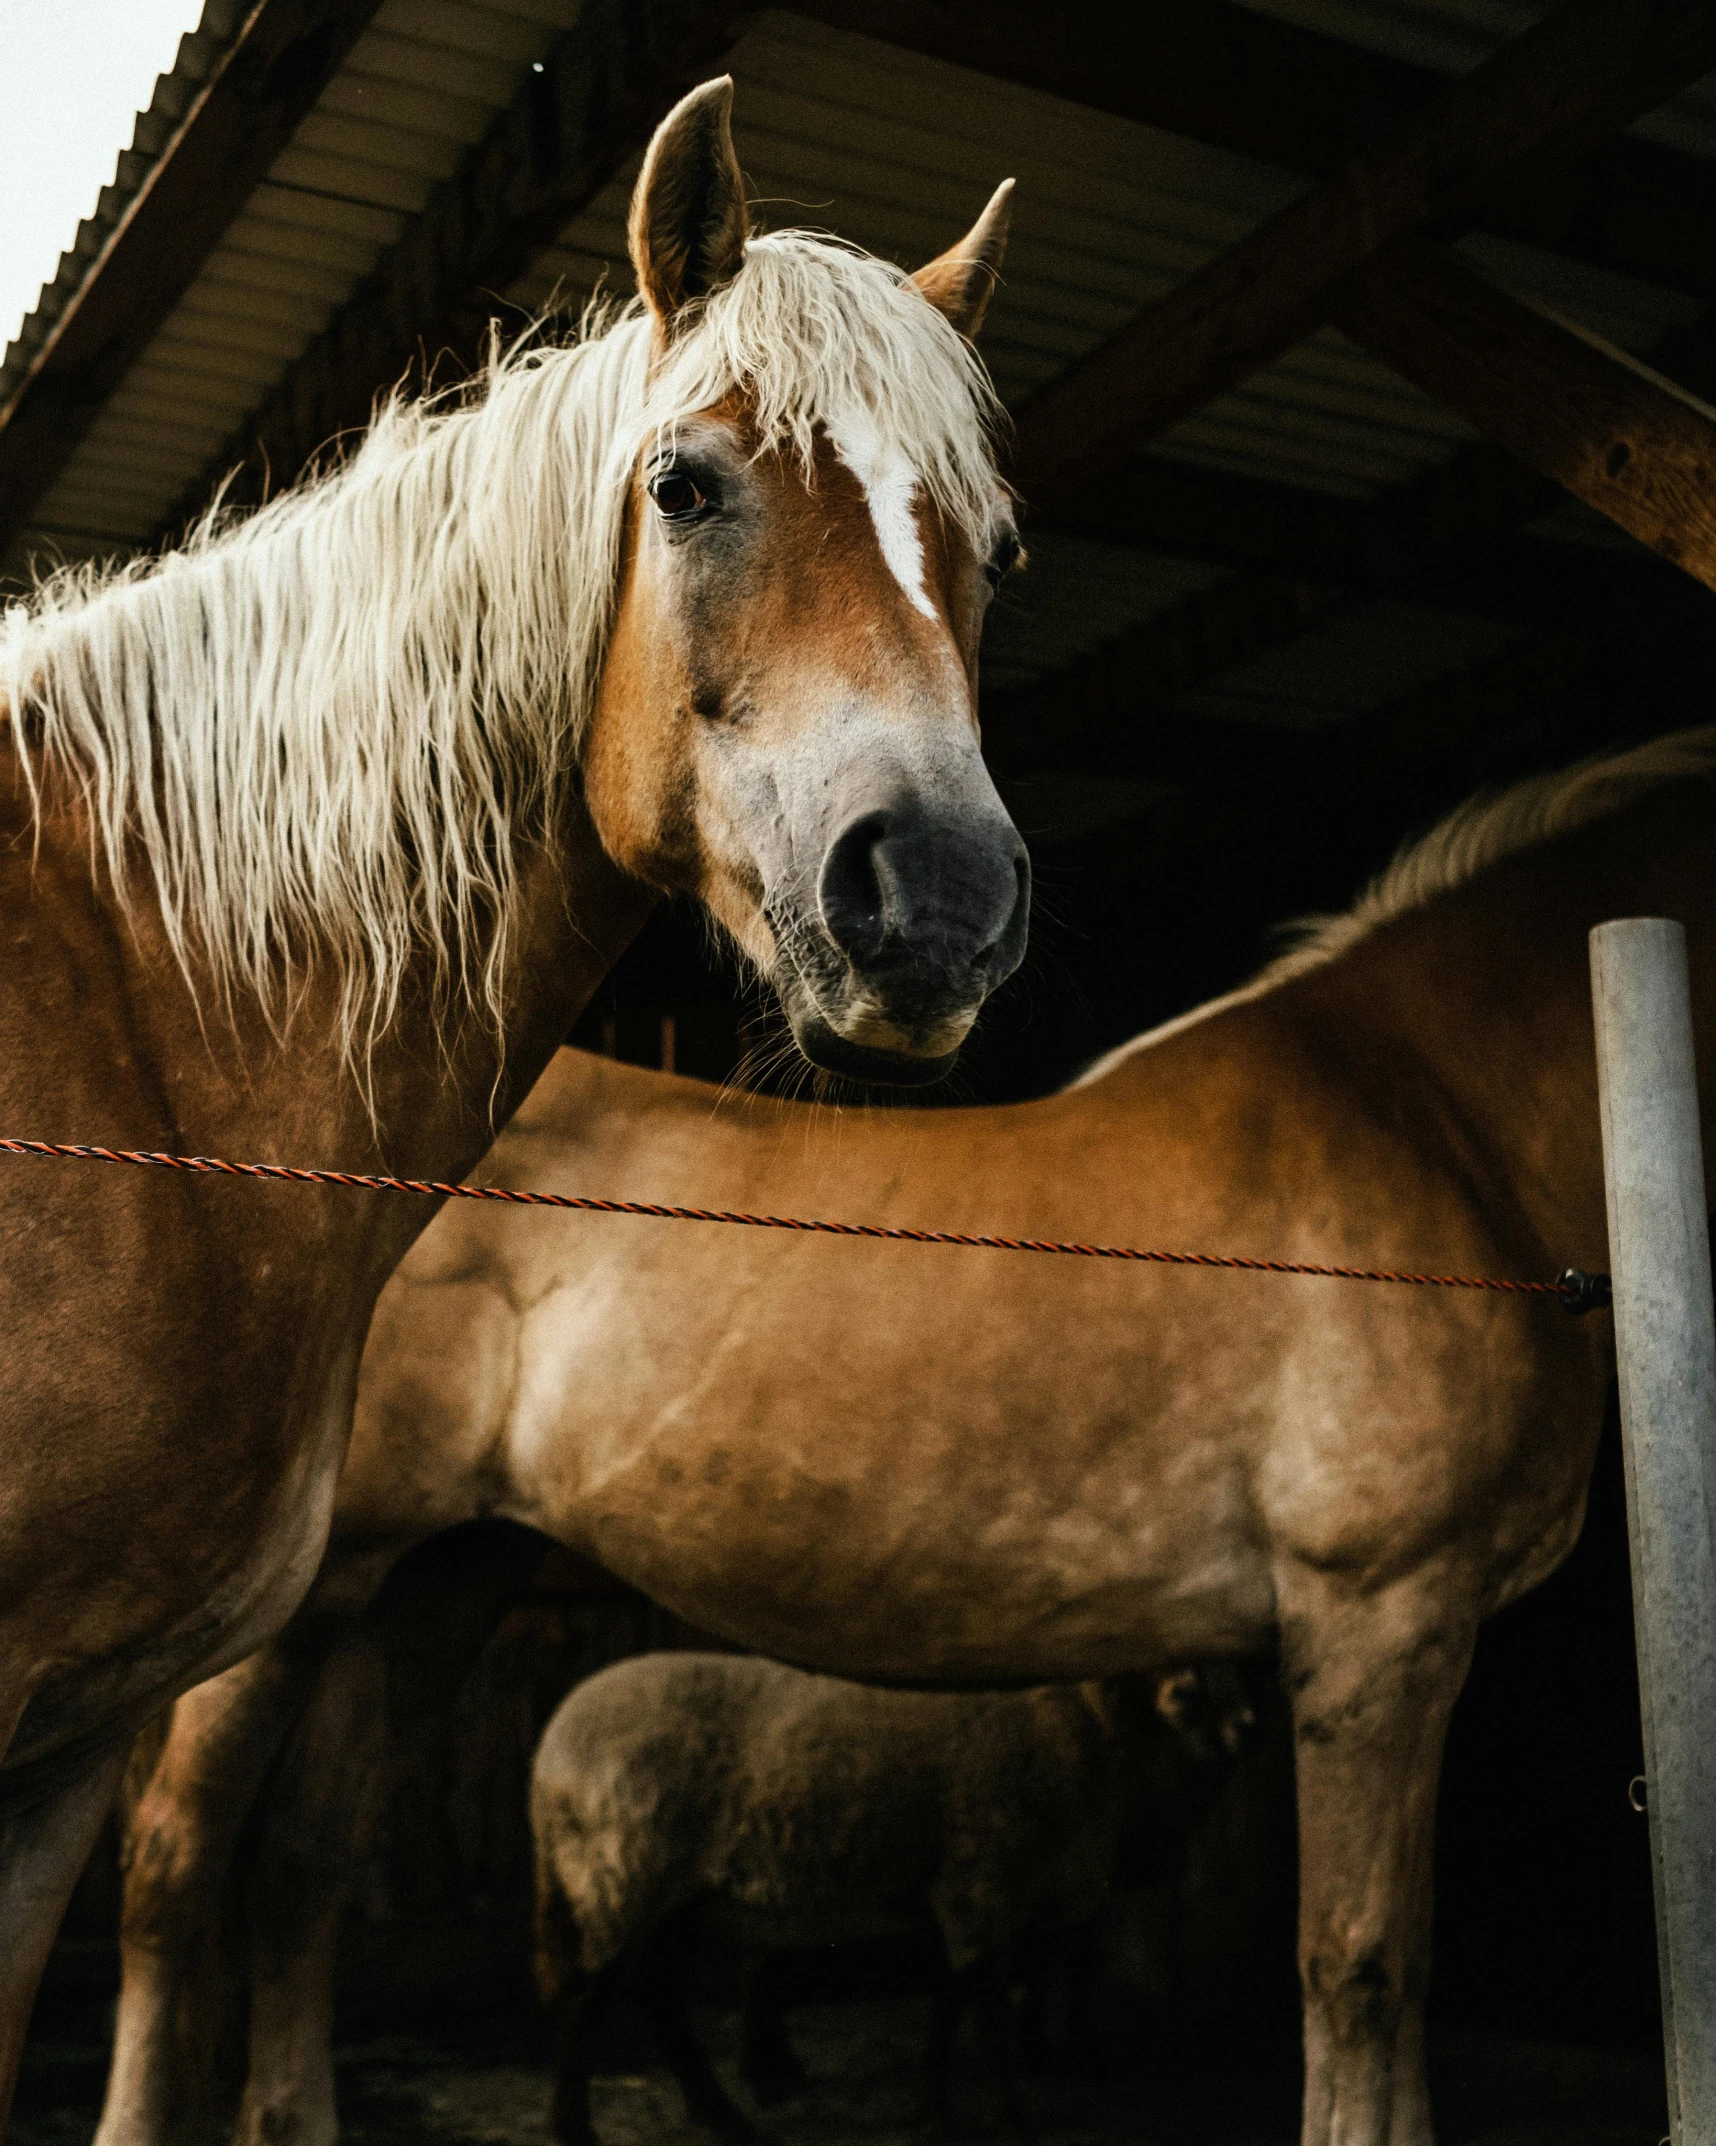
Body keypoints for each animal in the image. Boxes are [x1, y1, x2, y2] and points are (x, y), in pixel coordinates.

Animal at [100, 729, 1716, 2137]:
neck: (1439, 1127)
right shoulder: (1381, 1625)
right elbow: (1367, 1962)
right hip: (314, 1596)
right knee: (178, 1862)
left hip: (426, 1586)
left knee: (304, 1863)